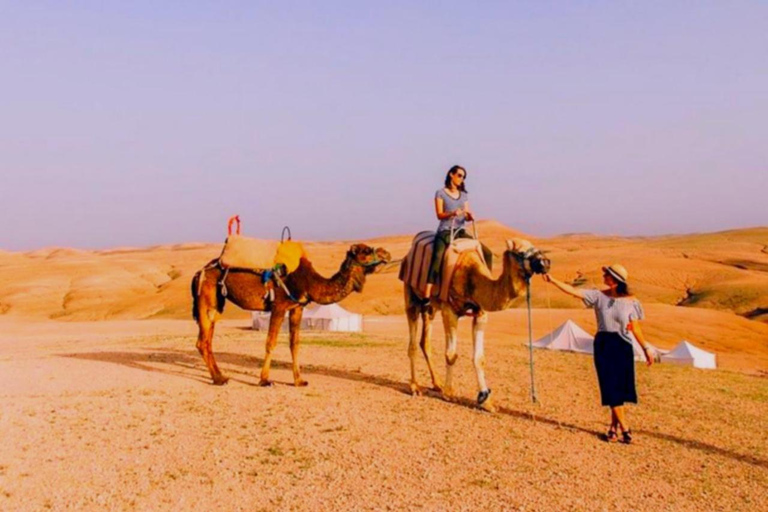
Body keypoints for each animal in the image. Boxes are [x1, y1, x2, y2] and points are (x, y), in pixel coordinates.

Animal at [192, 244, 390, 384]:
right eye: (365, 250)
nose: (386, 253)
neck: (309, 282)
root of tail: (199, 272)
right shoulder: (279, 306)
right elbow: (270, 342)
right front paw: (264, 380)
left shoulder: (297, 307)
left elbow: (294, 343)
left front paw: (299, 380)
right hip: (208, 295)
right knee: (203, 341)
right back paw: (218, 379)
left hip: (217, 302)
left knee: (207, 340)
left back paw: (220, 377)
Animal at [404, 237, 548, 412]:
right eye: (520, 252)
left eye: (536, 247)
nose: (545, 263)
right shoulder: (449, 310)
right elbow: (451, 354)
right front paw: (449, 394)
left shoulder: (480, 313)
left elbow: (479, 358)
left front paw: (486, 401)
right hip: (411, 295)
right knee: (412, 340)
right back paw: (415, 387)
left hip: (430, 307)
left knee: (425, 341)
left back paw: (437, 384)